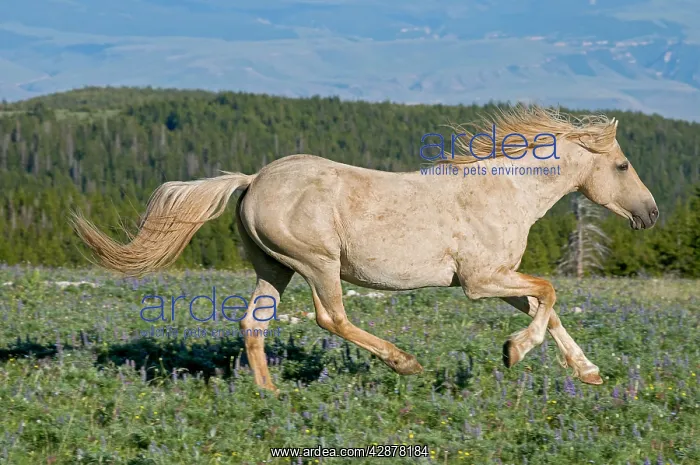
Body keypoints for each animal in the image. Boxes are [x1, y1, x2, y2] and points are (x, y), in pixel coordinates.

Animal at [72, 105, 659, 392]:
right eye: (623, 165)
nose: (651, 214)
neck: (504, 192)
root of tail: (253, 179)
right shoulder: (479, 281)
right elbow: (551, 292)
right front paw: (514, 351)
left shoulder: (500, 278)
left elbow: (547, 306)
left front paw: (588, 373)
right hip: (317, 263)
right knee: (331, 316)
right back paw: (405, 364)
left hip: (274, 268)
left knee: (253, 326)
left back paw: (271, 395)